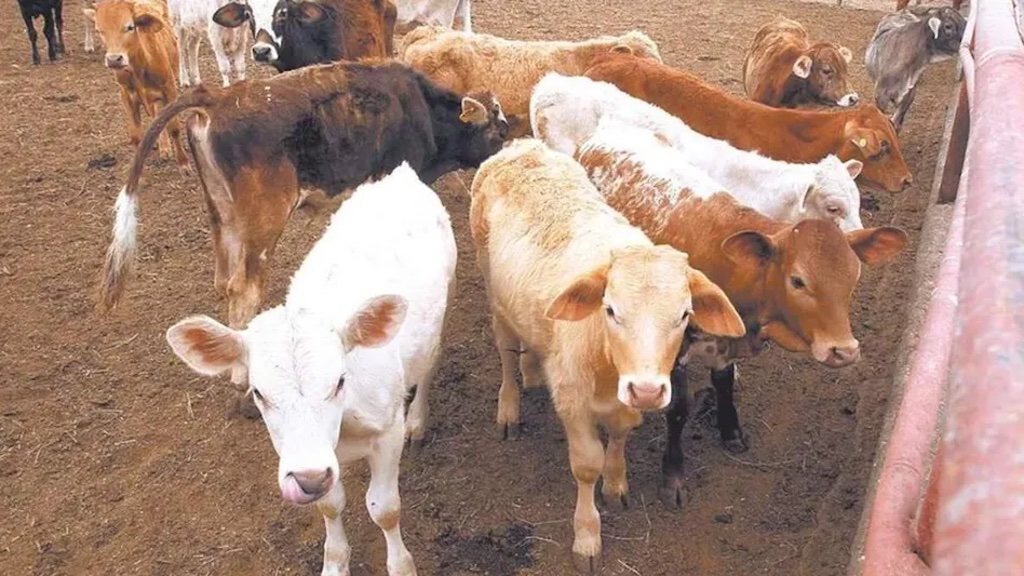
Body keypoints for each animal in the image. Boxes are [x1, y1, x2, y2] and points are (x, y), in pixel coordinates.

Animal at [85, 0, 189, 169]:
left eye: (130, 27)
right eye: (98, 30)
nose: (114, 59)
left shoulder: (169, 91)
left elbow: (174, 127)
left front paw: (184, 164)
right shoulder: (127, 96)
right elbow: (135, 136)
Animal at [97, 60, 508, 337]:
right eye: (499, 130)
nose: (508, 152)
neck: (421, 110)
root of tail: (218, 97)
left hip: (222, 213)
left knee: (223, 279)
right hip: (264, 222)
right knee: (243, 289)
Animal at [167, 162, 456, 576]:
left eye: (339, 381)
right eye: (259, 393)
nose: (309, 478)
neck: (346, 422)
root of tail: (402, 174)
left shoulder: (388, 432)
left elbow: (384, 509)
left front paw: (401, 565)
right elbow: (330, 505)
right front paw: (335, 562)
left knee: (429, 365)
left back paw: (419, 419)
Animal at [469, 138, 744, 573]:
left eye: (685, 314)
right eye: (610, 309)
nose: (647, 391)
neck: (606, 363)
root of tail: (522, 146)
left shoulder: (627, 400)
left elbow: (619, 435)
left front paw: (616, 484)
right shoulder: (572, 399)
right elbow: (586, 465)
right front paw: (587, 537)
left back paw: (533, 369)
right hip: (494, 297)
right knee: (507, 354)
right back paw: (510, 406)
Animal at [563, 118, 908, 508]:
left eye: (852, 275)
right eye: (798, 280)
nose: (844, 351)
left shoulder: (725, 340)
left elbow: (724, 382)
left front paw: (730, 430)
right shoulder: (676, 348)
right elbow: (678, 409)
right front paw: (673, 477)